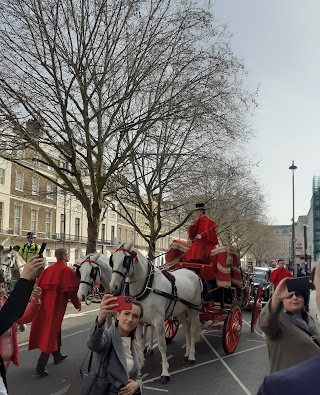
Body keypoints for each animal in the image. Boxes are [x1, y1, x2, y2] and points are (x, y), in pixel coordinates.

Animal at [109, 241, 201, 384]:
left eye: (126, 260)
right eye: (112, 260)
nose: (114, 287)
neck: (147, 286)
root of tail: (192, 271)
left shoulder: (158, 321)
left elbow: (162, 345)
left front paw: (165, 373)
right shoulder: (139, 322)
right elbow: (140, 344)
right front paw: (139, 371)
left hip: (194, 309)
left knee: (192, 329)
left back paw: (191, 355)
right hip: (179, 310)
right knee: (186, 327)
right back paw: (186, 354)